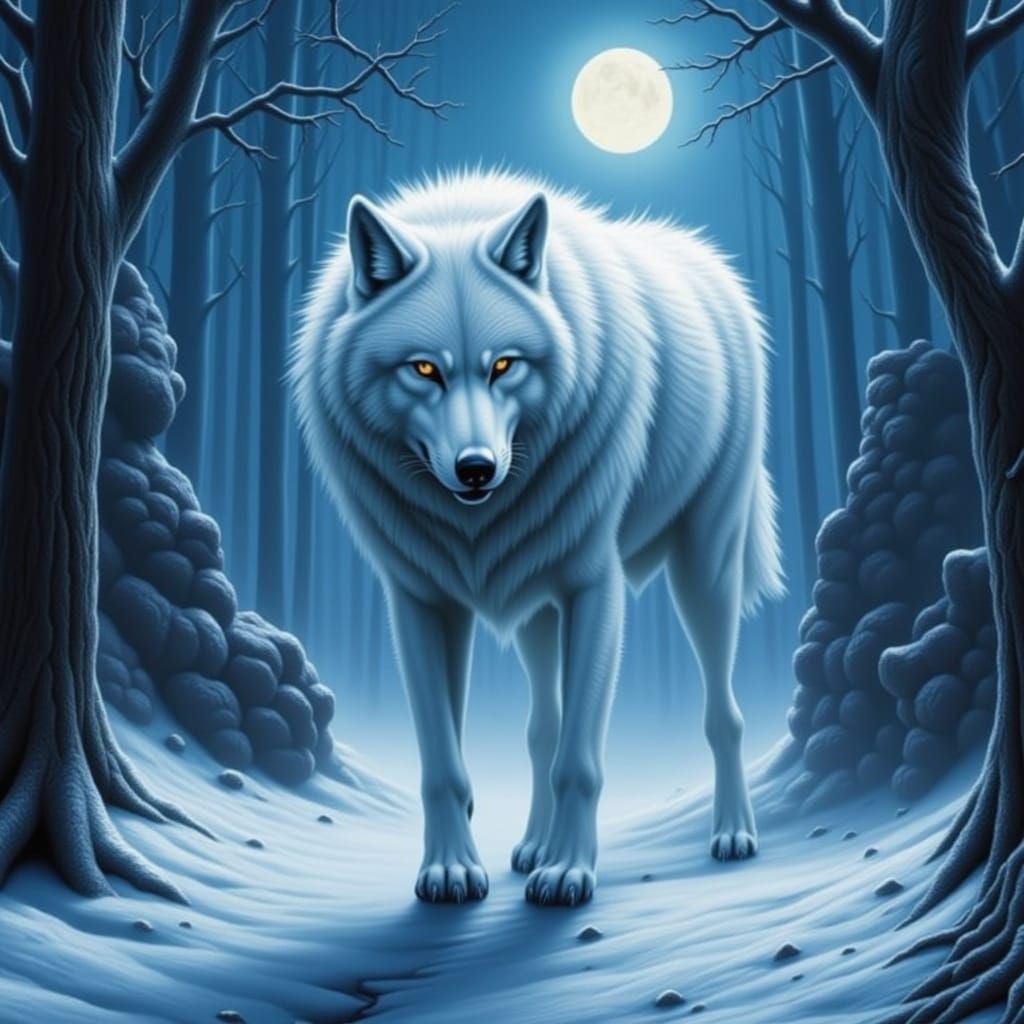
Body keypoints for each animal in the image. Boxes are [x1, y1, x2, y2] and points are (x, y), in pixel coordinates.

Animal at [291, 170, 783, 907]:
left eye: (504, 365)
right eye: (424, 370)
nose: (476, 469)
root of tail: (712, 263)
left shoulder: (595, 590)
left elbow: (579, 759)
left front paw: (570, 871)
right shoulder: (420, 602)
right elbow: (444, 761)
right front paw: (451, 869)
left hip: (704, 571)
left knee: (723, 715)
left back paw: (732, 834)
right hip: (534, 613)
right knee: (540, 728)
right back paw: (529, 846)